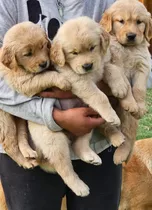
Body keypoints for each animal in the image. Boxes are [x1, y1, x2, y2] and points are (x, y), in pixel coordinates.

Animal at [0, 21, 70, 168]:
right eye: (27, 54)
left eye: (43, 46)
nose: (44, 63)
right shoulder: (24, 83)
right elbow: (46, 76)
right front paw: (63, 81)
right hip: (4, 120)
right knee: (9, 143)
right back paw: (25, 162)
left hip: (20, 117)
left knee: (21, 134)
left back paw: (28, 153)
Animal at [100, 0, 152, 164]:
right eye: (121, 21)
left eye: (139, 22)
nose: (131, 35)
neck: (128, 49)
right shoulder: (110, 63)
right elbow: (121, 79)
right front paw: (124, 94)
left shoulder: (143, 65)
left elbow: (139, 88)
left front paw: (139, 106)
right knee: (106, 127)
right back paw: (117, 139)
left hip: (128, 120)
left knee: (128, 138)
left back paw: (121, 153)